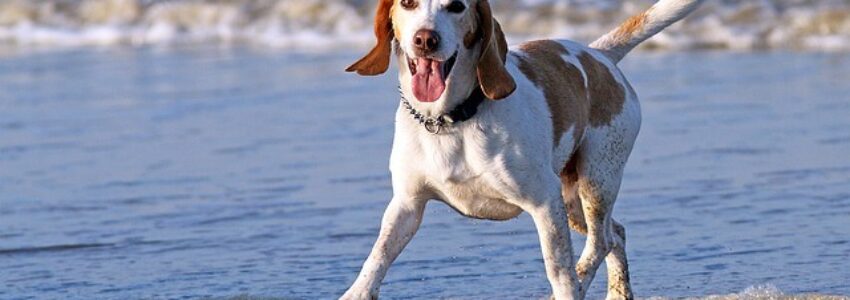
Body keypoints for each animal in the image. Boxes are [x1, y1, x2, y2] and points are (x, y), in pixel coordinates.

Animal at [340, 1, 704, 298]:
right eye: (407, 3)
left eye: (456, 6)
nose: (425, 39)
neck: (451, 120)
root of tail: (599, 55)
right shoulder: (406, 206)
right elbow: (377, 258)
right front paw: (357, 292)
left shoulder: (543, 203)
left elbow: (559, 270)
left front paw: (567, 288)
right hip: (571, 201)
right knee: (616, 234)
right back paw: (618, 294)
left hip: (596, 182)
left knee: (600, 243)